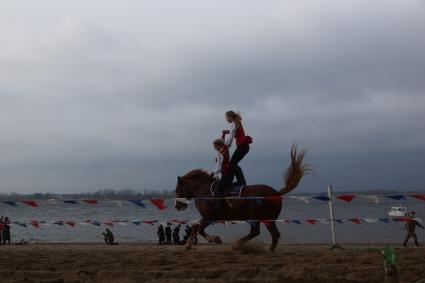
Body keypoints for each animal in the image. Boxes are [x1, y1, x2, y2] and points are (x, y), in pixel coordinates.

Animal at [174, 145, 310, 252]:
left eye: (177, 190)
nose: (177, 206)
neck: (204, 190)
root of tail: (276, 193)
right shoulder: (208, 217)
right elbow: (196, 227)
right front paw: (189, 244)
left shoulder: (209, 216)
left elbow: (199, 228)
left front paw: (213, 239)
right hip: (268, 219)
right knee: (274, 234)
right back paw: (270, 250)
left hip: (256, 215)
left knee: (256, 232)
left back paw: (237, 244)